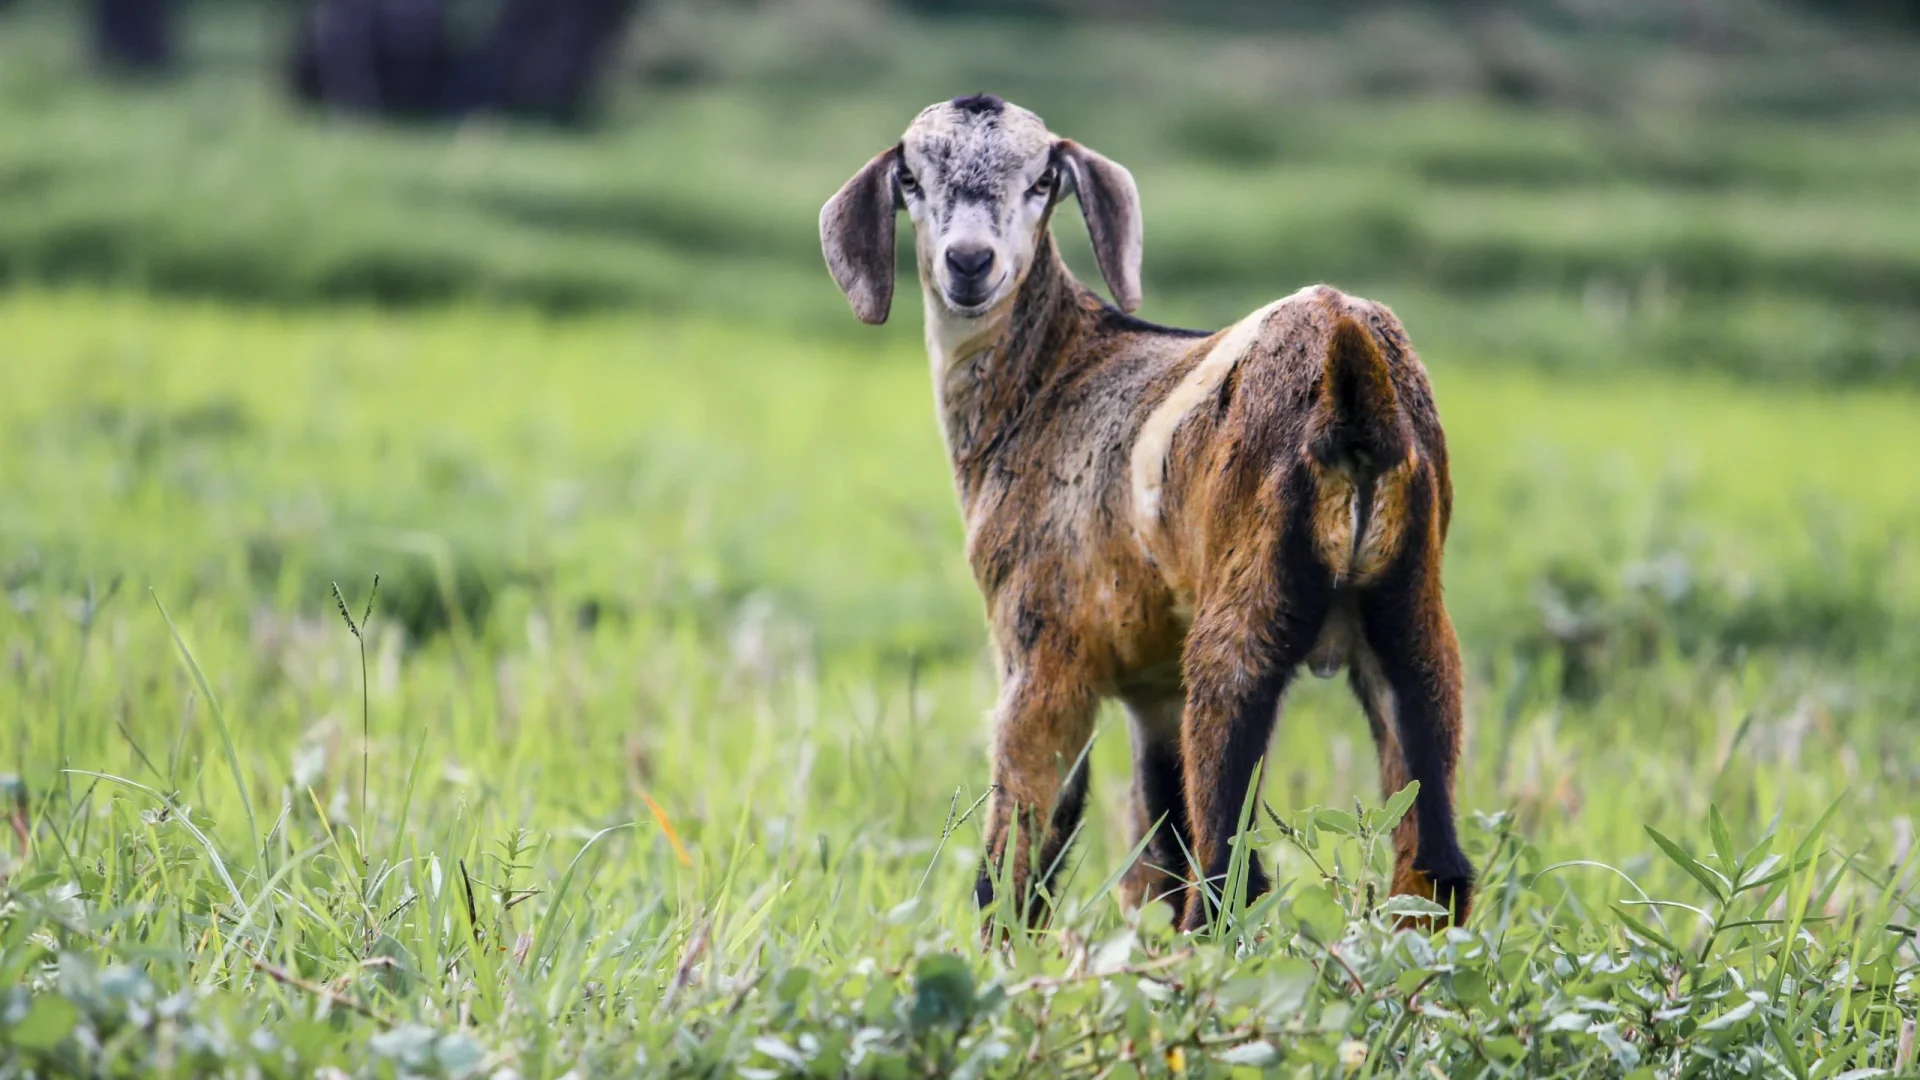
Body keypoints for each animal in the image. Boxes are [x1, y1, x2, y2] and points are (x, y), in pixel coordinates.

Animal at [820, 95, 1473, 931]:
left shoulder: (1043, 647)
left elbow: (1022, 851)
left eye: (1042, 180)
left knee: (1230, 873)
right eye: (910, 176)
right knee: (1433, 864)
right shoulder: (1153, 684)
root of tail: (1352, 368)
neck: (1049, 377)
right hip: (1412, 611)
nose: (970, 262)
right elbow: (1158, 846)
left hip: (1242, 620)